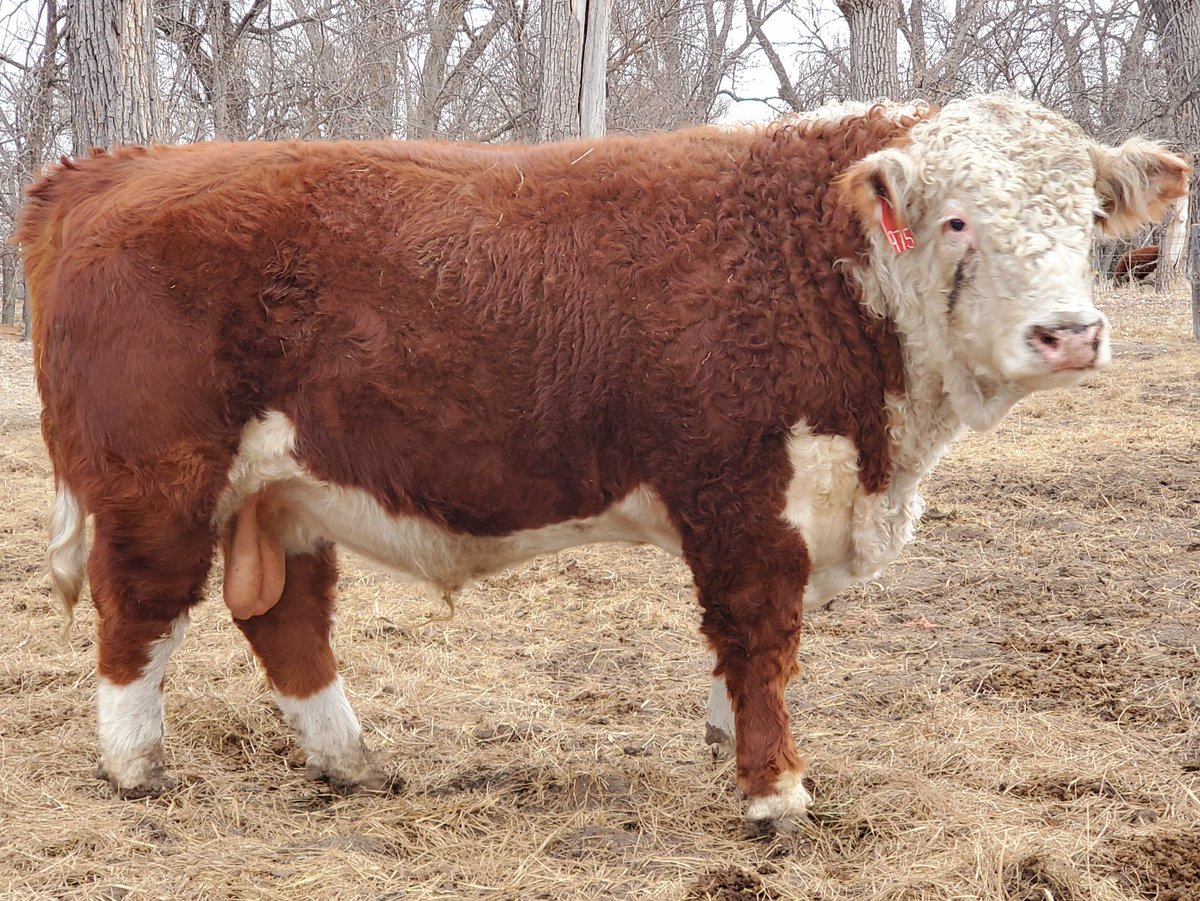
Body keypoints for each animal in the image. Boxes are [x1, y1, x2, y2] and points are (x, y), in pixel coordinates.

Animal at [17, 94, 1189, 833]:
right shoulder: (739, 494)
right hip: (159, 480)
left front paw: (728, 745)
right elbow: (760, 635)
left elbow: (758, 652)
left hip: (287, 490)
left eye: (1088, 214)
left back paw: (352, 762)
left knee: (285, 620)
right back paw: (136, 768)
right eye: (956, 220)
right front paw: (775, 791)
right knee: (139, 610)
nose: (1070, 333)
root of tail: (117, 165)